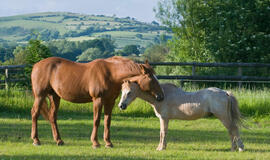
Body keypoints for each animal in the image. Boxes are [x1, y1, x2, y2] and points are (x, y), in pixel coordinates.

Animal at [30, 56, 163, 148]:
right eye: (151, 79)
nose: (161, 96)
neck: (111, 74)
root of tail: (36, 65)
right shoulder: (97, 100)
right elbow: (96, 120)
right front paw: (95, 142)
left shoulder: (110, 101)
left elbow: (107, 121)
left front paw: (108, 143)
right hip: (40, 96)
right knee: (35, 113)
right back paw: (36, 140)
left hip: (55, 97)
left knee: (52, 117)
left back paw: (59, 140)